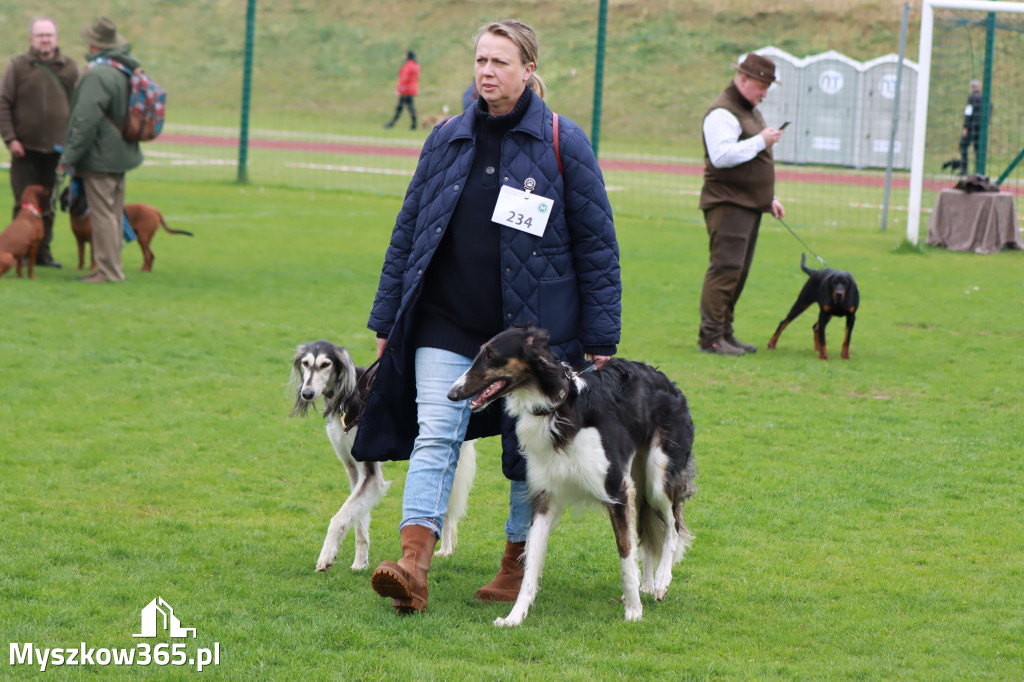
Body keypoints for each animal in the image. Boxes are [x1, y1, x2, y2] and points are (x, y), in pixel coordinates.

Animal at [60, 187, 193, 272]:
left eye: (72, 193)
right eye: (66, 192)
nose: (66, 200)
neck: (81, 215)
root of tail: (155, 210)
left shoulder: (94, 240)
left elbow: (93, 256)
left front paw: (92, 268)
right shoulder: (79, 240)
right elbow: (81, 256)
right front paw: (79, 268)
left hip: (143, 238)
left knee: (148, 255)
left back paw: (144, 270)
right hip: (145, 239)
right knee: (151, 255)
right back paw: (147, 270)